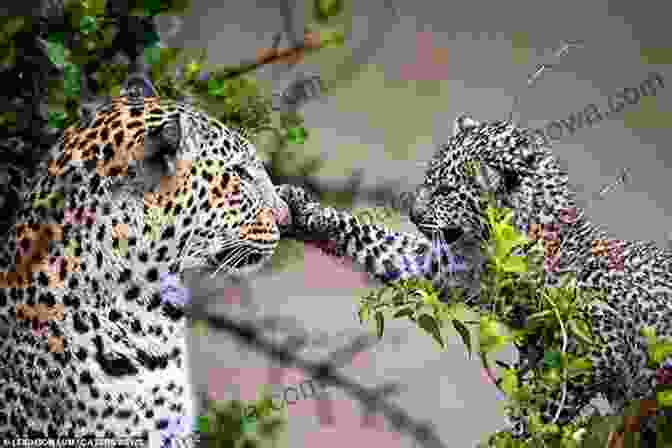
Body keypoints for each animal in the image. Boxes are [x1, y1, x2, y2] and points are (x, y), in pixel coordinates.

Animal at [276, 114, 672, 442]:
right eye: (428, 181)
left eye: (447, 191)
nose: (413, 212)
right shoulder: (458, 270)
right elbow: (383, 243)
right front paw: (307, 211)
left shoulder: (598, 350)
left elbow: (542, 413)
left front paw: (520, 436)